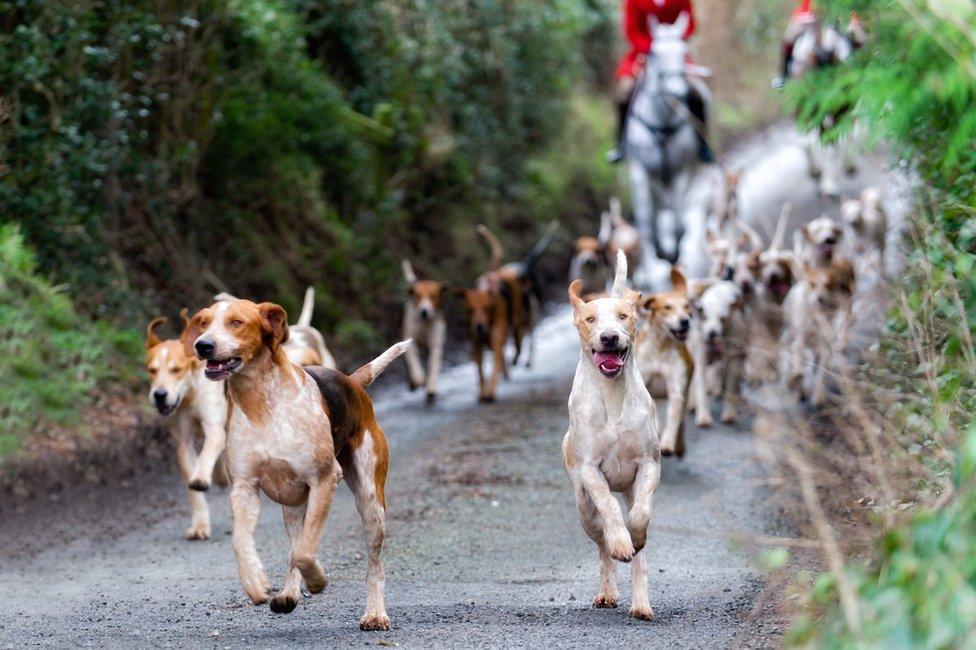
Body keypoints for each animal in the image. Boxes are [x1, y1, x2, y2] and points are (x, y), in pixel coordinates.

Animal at [624, 13, 708, 270]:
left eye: (683, 50)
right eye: (654, 52)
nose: (676, 92)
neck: (661, 122)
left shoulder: (681, 171)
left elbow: (679, 222)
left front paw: (673, 252)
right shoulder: (640, 171)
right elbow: (645, 221)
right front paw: (659, 249)